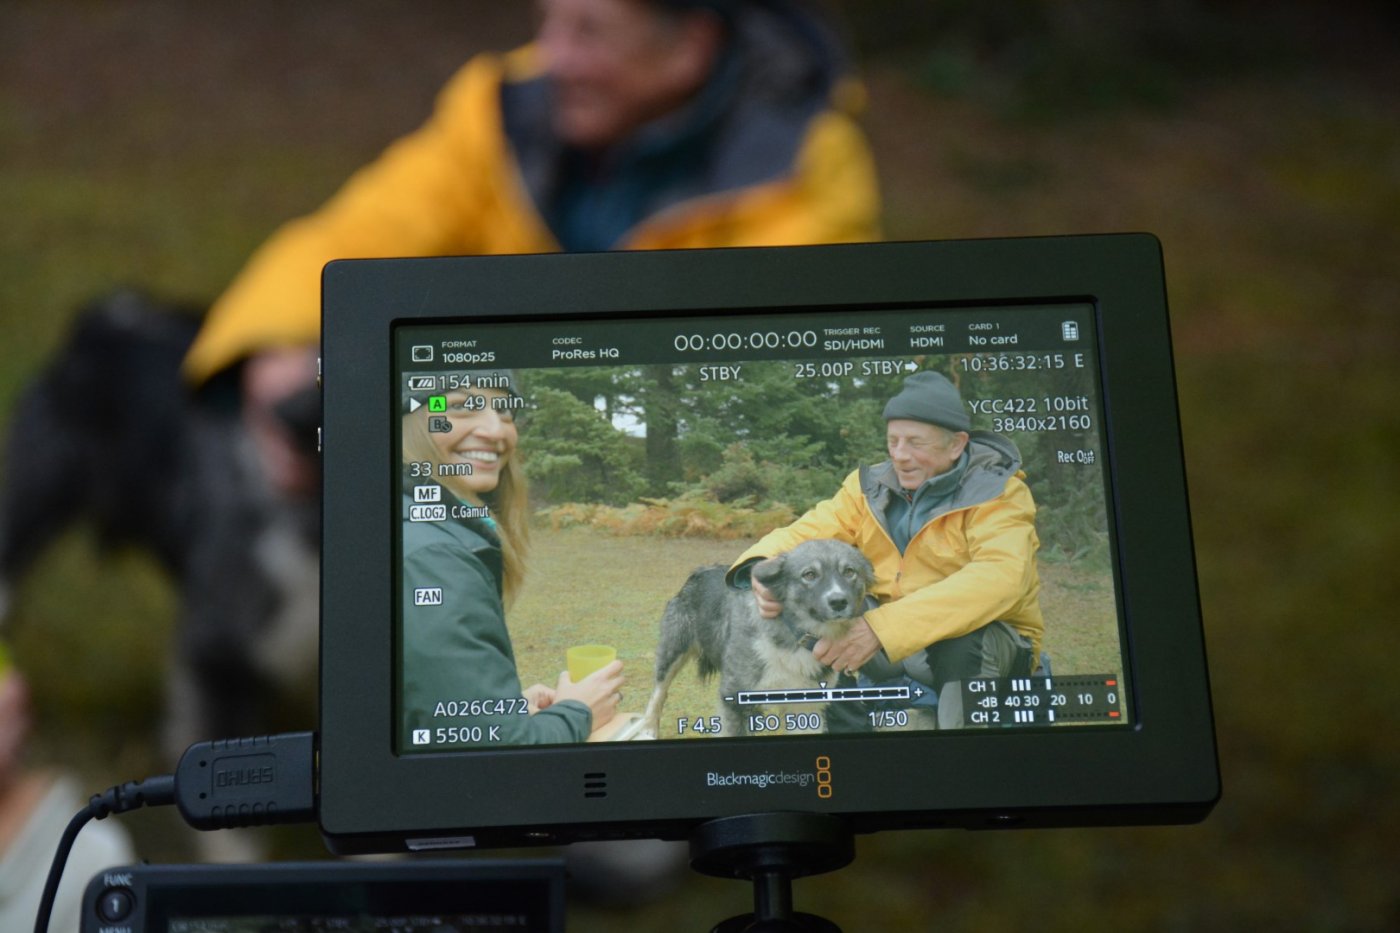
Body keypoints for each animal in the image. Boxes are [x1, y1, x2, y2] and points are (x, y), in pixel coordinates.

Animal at [638, 537, 873, 734]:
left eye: (849, 572)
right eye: (809, 575)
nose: (839, 602)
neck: (794, 636)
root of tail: (700, 571)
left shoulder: (805, 708)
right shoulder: (735, 702)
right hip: (672, 652)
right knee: (658, 695)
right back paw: (648, 731)